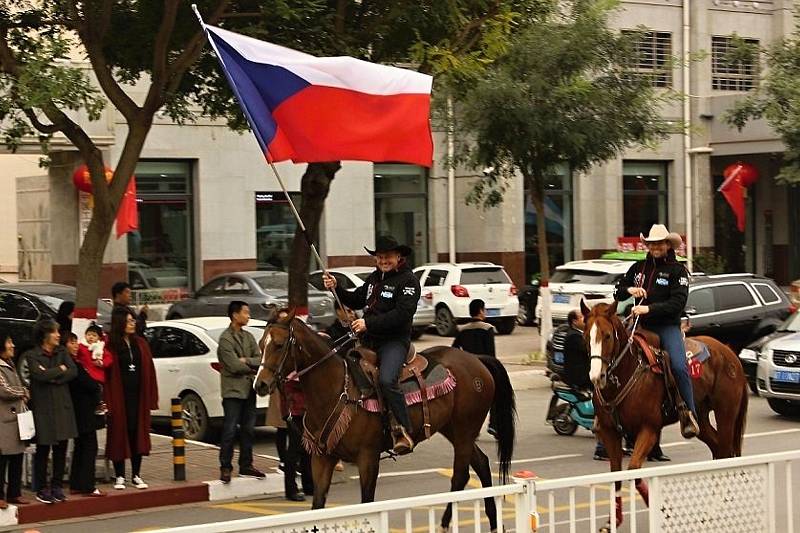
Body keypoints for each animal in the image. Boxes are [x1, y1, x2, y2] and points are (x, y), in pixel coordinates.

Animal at [256, 308, 520, 532]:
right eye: (261, 344)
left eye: (279, 344)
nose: (260, 385)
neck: (338, 390)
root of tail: (477, 360)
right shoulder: (323, 458)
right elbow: (317, 507)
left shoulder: (368, 458)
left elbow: (367, 504)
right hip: (454, 430)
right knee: (481, 464)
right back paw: (493, 522)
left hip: (465, 430)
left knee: (460, 476)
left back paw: (447, 523)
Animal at [584, 300, 748, 528]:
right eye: (586, 336)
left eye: (607, 335)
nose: (596, 376)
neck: (628, 371)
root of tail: (731, 354)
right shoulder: (610, 432)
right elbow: (616, 474)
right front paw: (614, 520)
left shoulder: (649, 429)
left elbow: (634, 469)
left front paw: (663, 513)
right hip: (701, 419)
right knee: (718, 450)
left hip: (726, 413)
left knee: (725, 454)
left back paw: (714, 509)